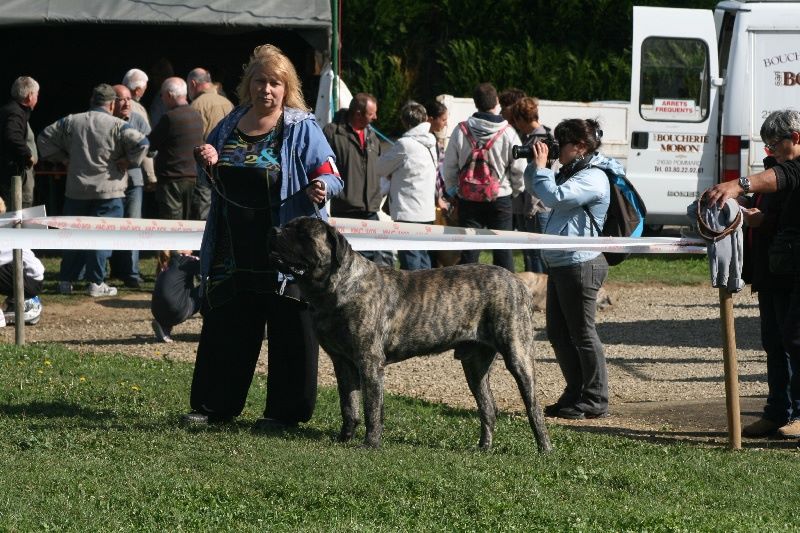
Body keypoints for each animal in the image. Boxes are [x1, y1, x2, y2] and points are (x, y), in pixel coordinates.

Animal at [268, 214, 552, 450]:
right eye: (288, 226)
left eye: (303, 234)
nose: (274, 230)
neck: (336, 288)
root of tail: (517, 280)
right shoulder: (342, 361)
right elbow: (349, 406)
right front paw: (343, 439)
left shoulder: (369, 361)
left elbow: (372, 407)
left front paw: (370, 444)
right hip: (475, 365)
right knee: (488, 407)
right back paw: (484, 447)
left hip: (518, 355)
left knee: (533, 408)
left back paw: (544, 449)